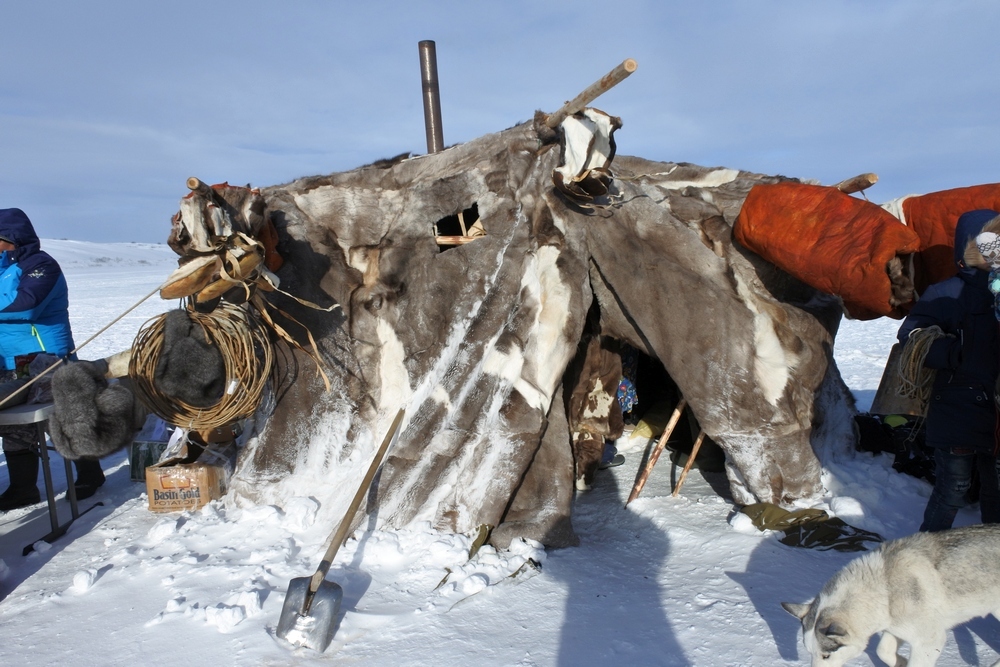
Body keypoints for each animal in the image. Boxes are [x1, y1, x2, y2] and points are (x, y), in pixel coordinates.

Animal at [784, 528, 1000, 667]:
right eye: (810, 653)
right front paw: (900, 663)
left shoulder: (929, 642)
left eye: (827, 656)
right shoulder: (895, 629)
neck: (884, 588)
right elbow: (883, 651)